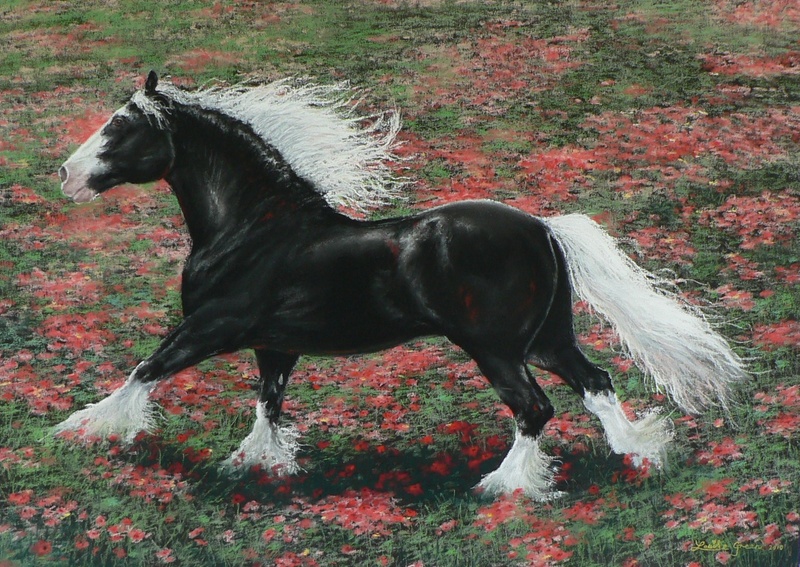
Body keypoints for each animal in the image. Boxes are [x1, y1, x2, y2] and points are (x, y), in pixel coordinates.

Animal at [54, 71, 747, 500]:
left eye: (120, 127)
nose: (65, 174)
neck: (252, 229)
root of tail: (545, 229)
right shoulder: (274, 345)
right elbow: (268, 406)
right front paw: (257, 466)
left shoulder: (211, 327)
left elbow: (145, 370)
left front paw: (80, 431)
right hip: (547, 339)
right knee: (595, 384)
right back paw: (639, 453)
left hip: (497, 349)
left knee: (535, 408)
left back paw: (502, 488)